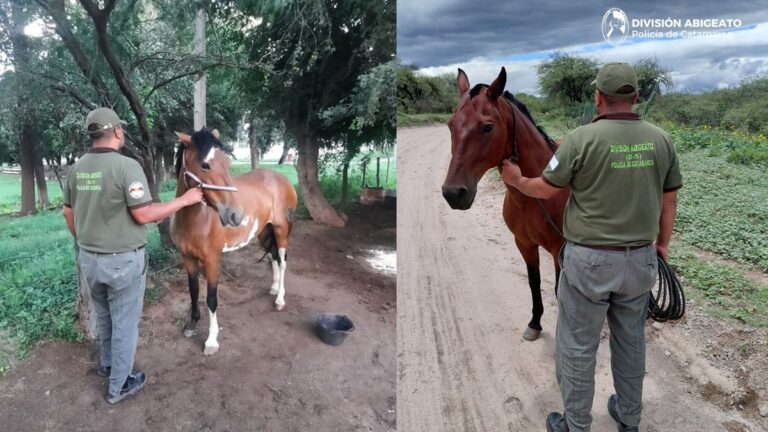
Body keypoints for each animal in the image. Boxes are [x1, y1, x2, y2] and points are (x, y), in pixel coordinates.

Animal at [170, 128, 298, 355]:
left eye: (227, 163)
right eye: (205, 164)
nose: (235, 215)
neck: (195, 220)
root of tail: (282, 179)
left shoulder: (212, 260)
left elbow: (211, 299)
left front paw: (211, 341)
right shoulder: (187, 258)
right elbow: (193, 291)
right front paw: (192, 325)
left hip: (282, 231)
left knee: (282, 262)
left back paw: (280, 299)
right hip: (265, 232)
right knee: (274, 257)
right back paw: (274, 288)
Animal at [441, 67, 569, 341]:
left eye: (488, 127)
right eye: (450, 125)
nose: (453, 193)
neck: (535, 194)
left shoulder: (559, 251)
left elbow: (559, 291)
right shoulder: (524, 244)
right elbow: (534, 283)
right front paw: (535, 323)